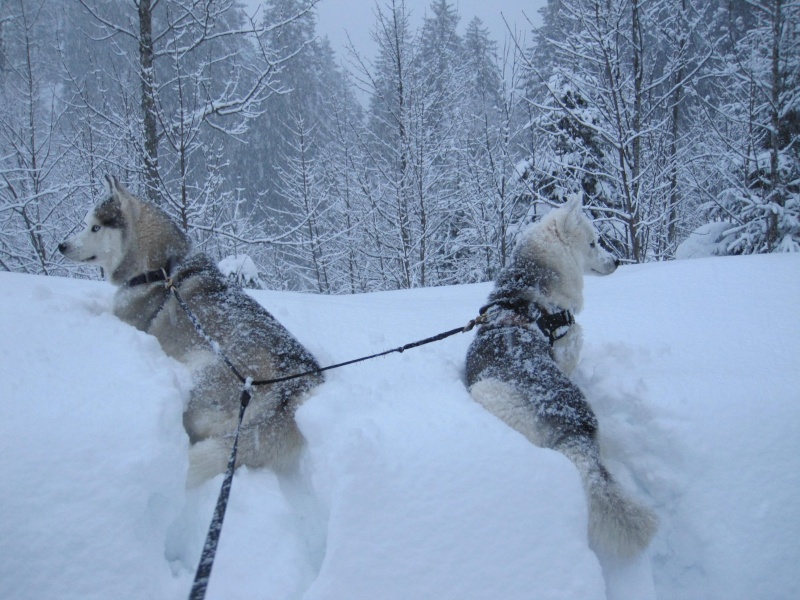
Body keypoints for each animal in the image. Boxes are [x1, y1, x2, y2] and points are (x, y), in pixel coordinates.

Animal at [59, 176, 322, 486]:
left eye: (95, 227)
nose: (61, 245)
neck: (160, 268)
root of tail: (293, 388)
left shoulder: (125, 319)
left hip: (200, 382)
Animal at [462, 197, 656, 556]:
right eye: (593, 242)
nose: (617, 260)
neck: (528, 291)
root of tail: (574, 426)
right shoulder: (568, 353)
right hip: (488, 391)